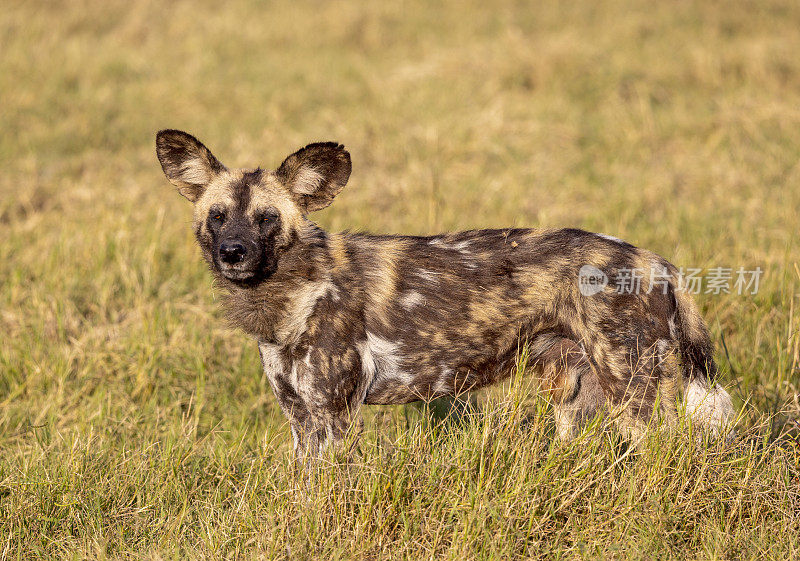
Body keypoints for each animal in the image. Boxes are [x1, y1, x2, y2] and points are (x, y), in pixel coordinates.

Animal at [158, 130, 736, 460]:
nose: (233, 253)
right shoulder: (301, 416)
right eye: (217, 216)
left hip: (633, 395)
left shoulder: (333, 416)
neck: (292, 292)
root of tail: (655, 261)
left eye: (267, 219)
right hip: (576, 394)